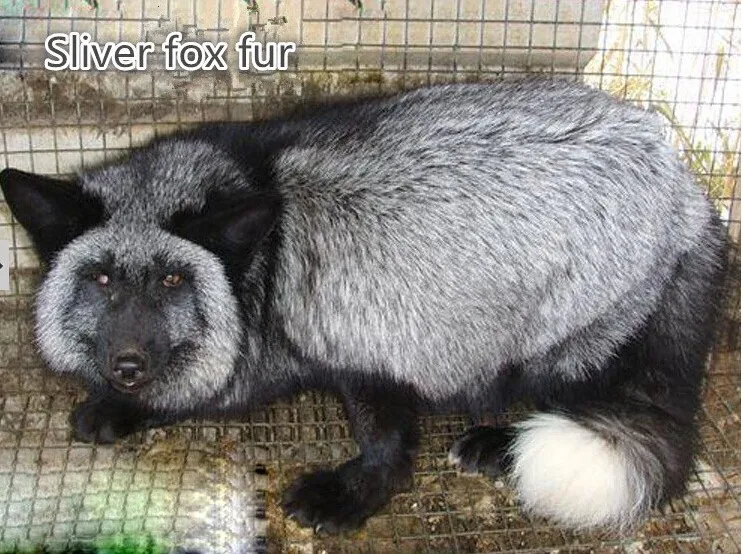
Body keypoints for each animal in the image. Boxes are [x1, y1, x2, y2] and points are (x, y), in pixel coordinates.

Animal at [1, 78, 726, 534]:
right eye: (100, 279)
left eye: (174, 280)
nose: (126, 364)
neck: (262, 262)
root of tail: (687, 187)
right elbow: (205, 390)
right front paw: (123, 406)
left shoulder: (365, 350)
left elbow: (387, 443)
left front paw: (351, 496)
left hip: (561, 346)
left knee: (577, 391)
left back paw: (500, 443)